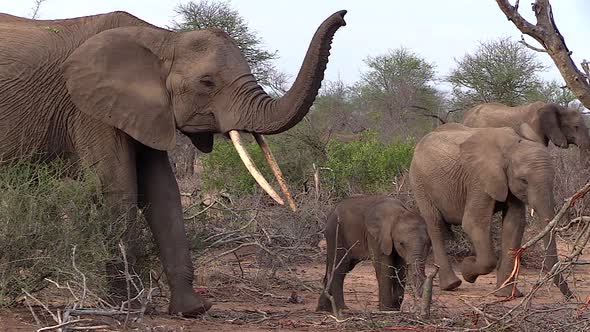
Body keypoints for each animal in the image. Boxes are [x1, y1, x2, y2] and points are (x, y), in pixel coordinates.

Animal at [0, 10, 346, 316]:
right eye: (207, 83)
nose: (343, 17)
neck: (165, 39)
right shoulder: (89, 109)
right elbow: (118, 190)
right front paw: (126, 307)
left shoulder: (145, 111)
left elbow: (163, 193)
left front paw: (192, 310)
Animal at [410, 124, 572, 298]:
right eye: (524, 181)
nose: (570, 296)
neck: (512, 146)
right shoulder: (479, 179)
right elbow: (473, 222)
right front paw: (467, 269)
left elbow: (514, 224)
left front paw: (505, 295)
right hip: (420, 183)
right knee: (435, 225)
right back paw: (452, 285)